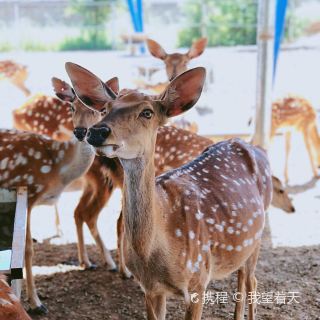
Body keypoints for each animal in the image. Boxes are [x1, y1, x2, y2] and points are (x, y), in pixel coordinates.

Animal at [65, 63, 272, 320]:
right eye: (105, 109)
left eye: (147, 112)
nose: (96, 131)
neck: (152, 252)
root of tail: (258, 149)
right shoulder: (150, 288)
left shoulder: (199, 278)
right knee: (242, 278)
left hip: (258, 237)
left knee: (252, 280)